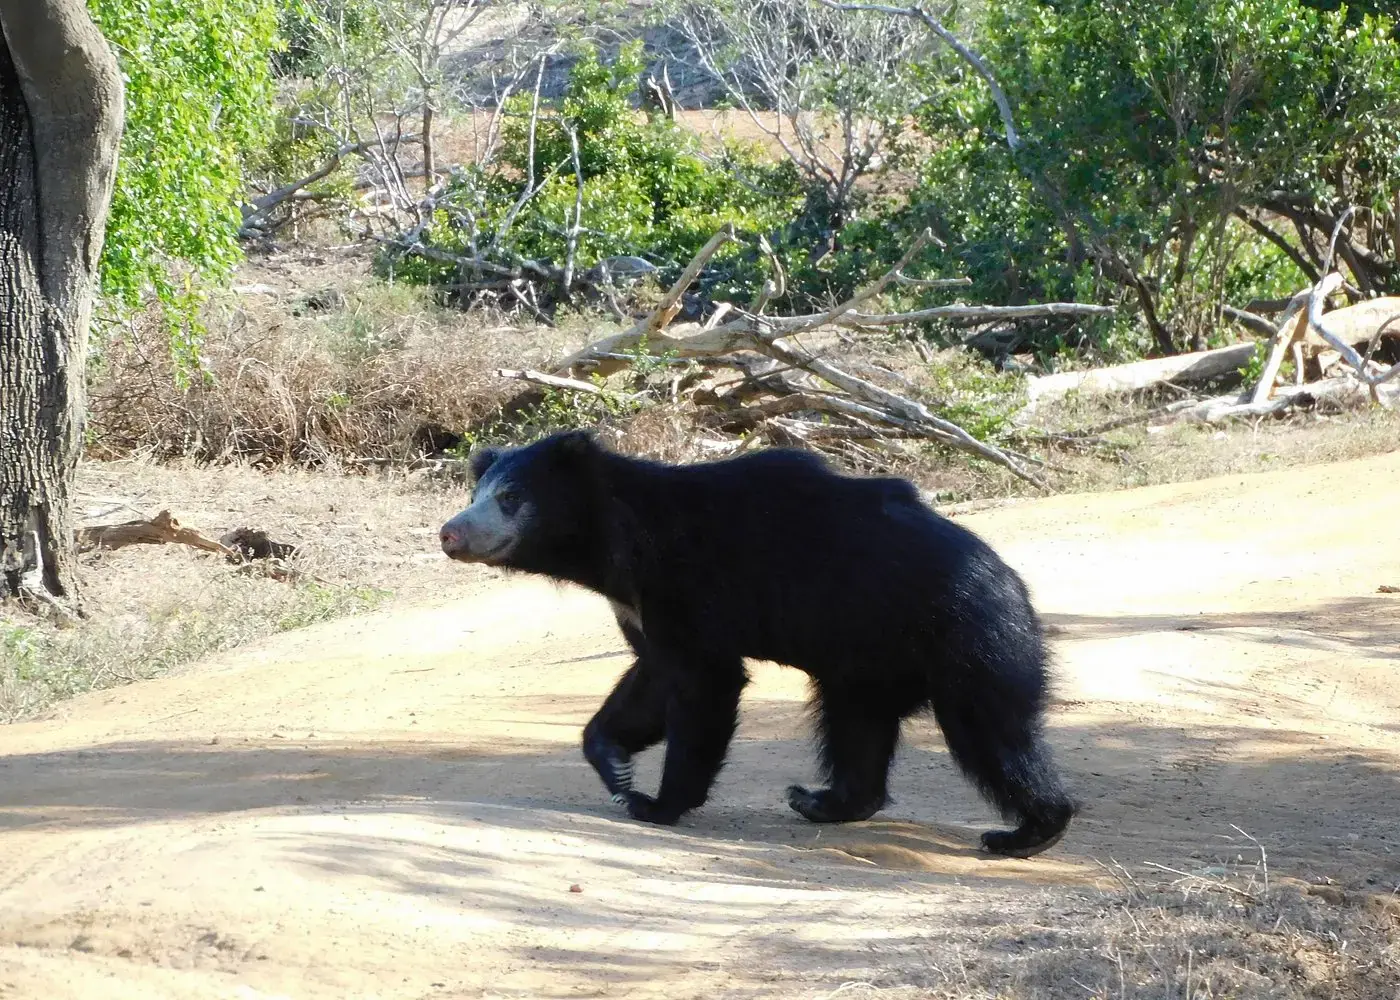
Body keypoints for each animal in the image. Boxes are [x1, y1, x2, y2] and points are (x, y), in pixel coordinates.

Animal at [439, 430, 1076, 858]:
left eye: (510, 498)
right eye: (476, 493)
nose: (450, 533)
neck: (618, 547)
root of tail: (1014, 585)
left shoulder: (686, 584)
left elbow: (703, 684)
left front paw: (655, 803)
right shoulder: (639, 605)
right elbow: (652, 677)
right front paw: (615, 765)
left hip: (965, 639)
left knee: (991, 734)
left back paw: (1026, 832)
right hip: (866, 662)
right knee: (856, 727)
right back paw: (824, 801)